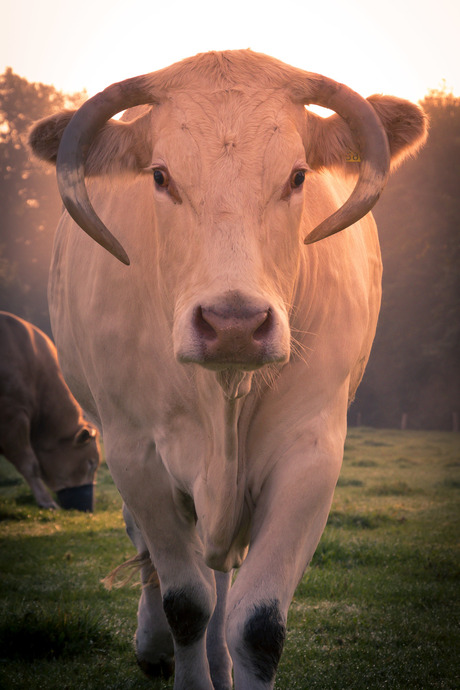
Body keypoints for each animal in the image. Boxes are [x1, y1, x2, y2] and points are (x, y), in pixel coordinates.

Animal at [29, 49, 428, 688]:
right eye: (160, 175)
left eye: (298, 176)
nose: (234, 322)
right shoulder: (134, 451)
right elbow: (186, 601)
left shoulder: (311, 453)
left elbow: (257, 623)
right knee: (162, 559)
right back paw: (155, 647)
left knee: (220, 573)